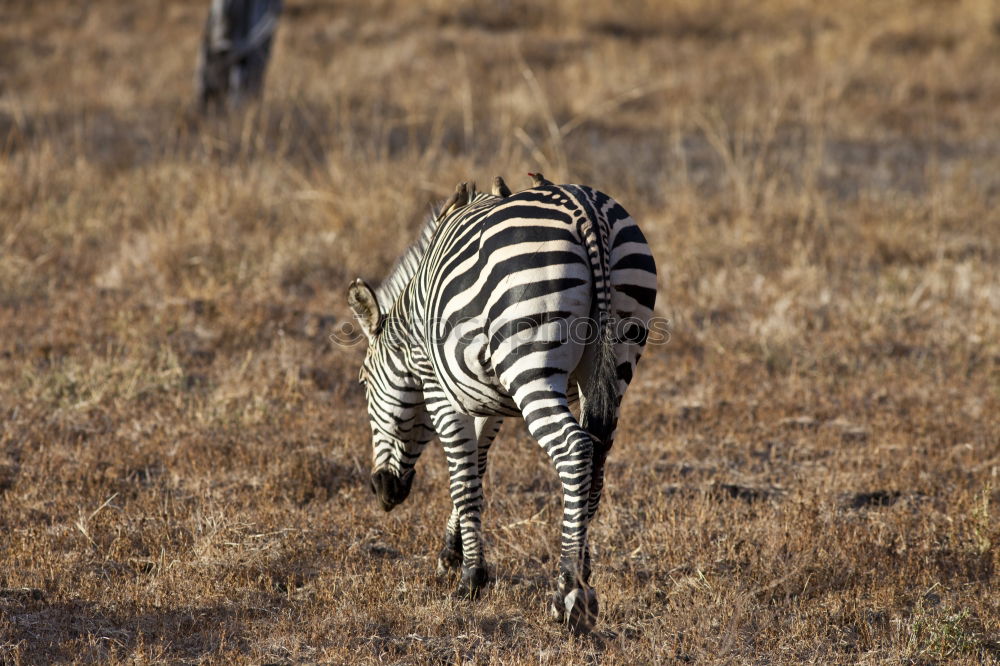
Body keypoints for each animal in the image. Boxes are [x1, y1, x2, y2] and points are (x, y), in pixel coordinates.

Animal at [348, 174, 660, 632]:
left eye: (363, 383)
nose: (382, 491)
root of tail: (584, 211)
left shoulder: (438, 387)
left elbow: (462, 479)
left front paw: (471, 579)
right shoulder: (486, 399)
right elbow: (476, 466)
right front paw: (452, 554)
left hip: (528, 361)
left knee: (575, 450)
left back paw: (569, 594)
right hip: (616, 356)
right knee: (597, 461)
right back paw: (582, 573)